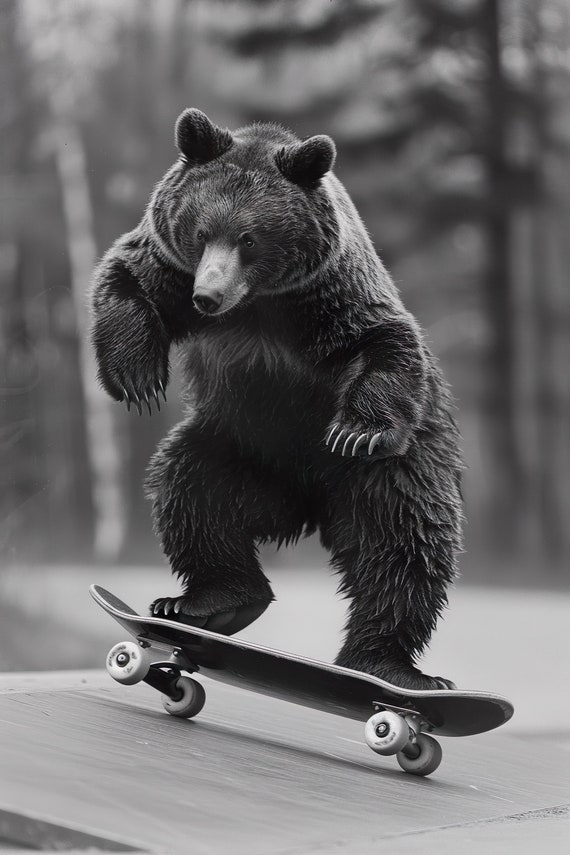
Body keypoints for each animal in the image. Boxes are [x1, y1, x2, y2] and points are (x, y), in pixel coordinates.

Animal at [90, 108, 463, 690]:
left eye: (249, 238)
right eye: (202, 232)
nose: (209, 295)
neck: (258, 303)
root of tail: (307, 508)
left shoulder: (330, 301)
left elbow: (384, 339)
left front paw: (355, 430)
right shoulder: (173, 273)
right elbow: (128, 277)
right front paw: (138, 377)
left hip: (392, 472)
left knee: (404, 542)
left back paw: (390, 666)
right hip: (234, 446)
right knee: (190, 493)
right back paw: (210, 602)